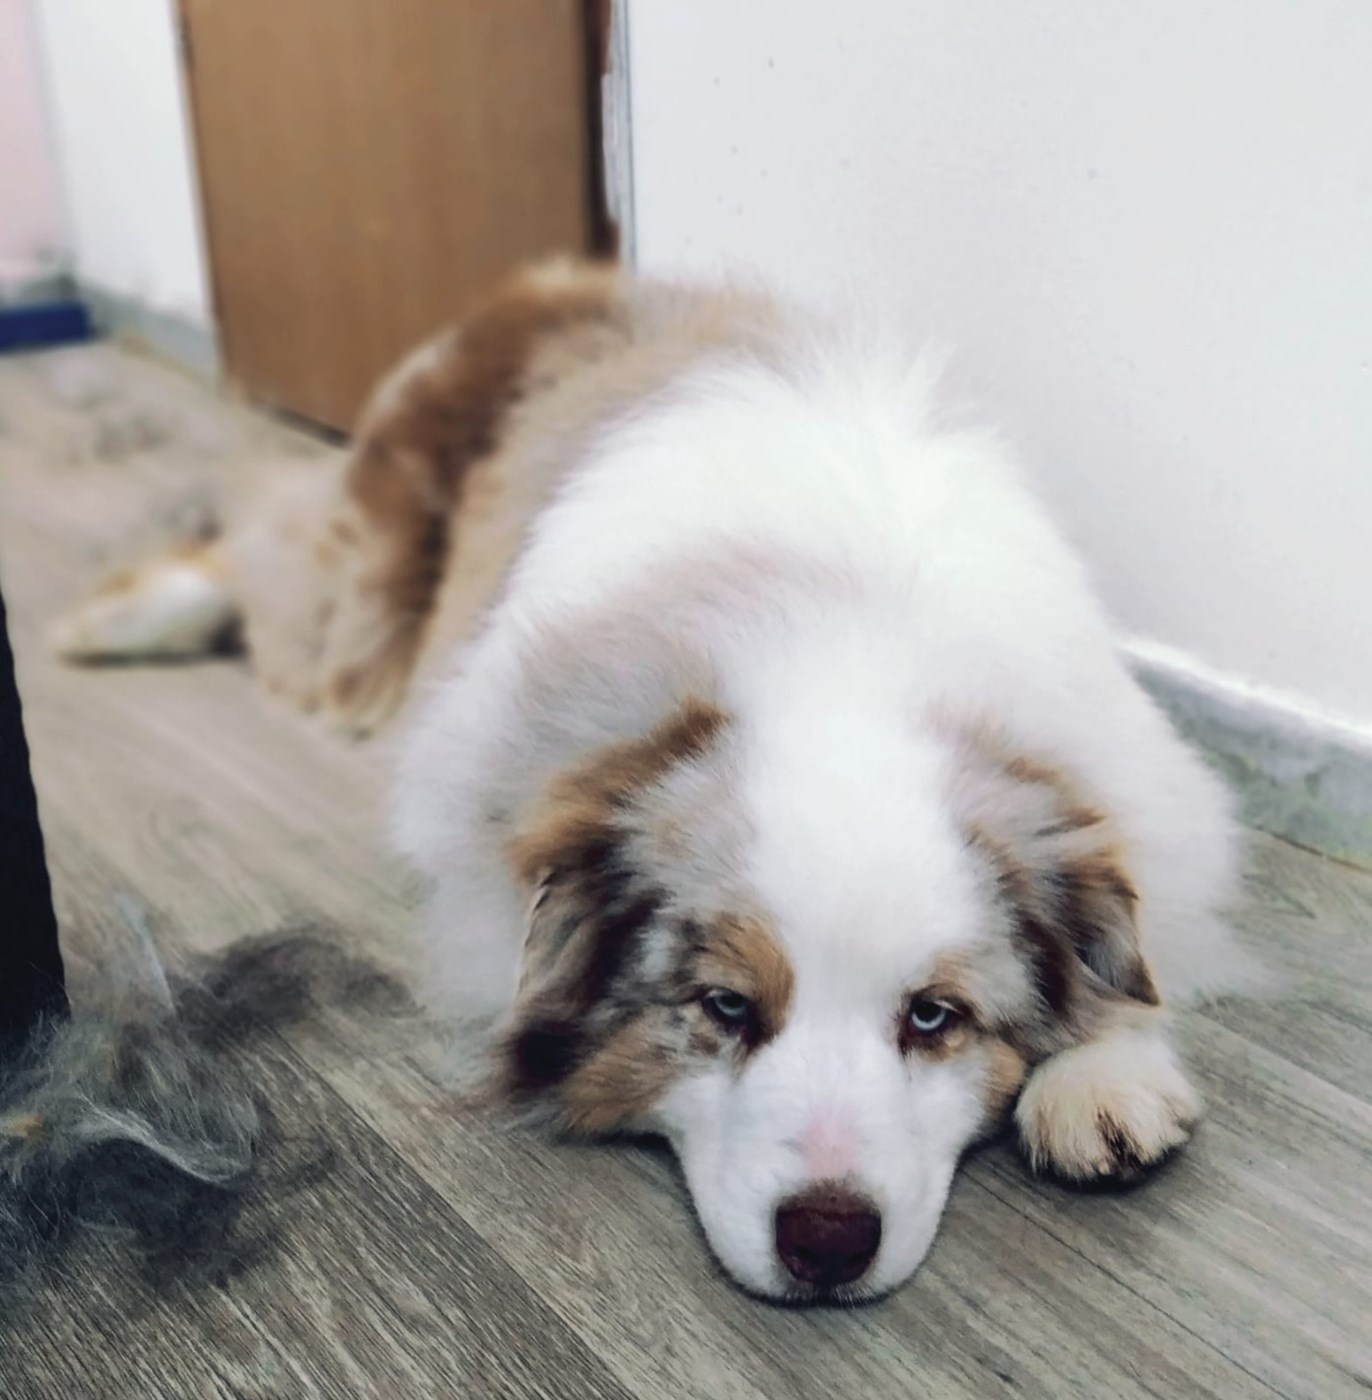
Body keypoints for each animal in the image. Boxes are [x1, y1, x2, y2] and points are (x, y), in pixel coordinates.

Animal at [54, 256, 1244, 1301]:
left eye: (934, 1016)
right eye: (723, 1004)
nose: (826, 1241)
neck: (843, 652)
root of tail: (564, 275)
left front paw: (1106, 1072)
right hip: (362, 595)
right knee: (265, 553)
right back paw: (121, 623)